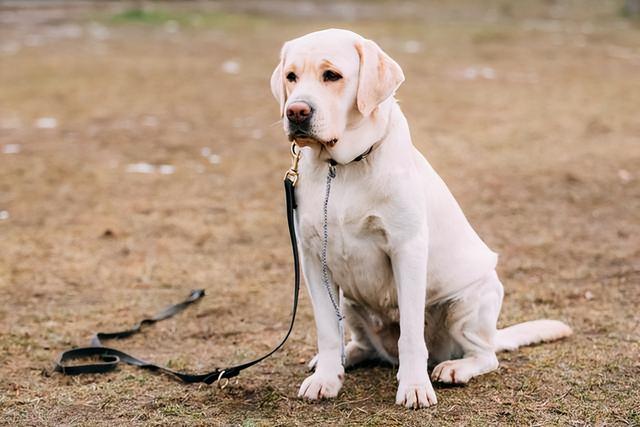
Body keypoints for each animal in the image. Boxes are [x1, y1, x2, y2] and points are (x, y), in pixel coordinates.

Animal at [268, 28, 568, 410]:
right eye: (291, 77)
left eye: (331, 75)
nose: (296, 111)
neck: (343, 166)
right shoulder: (311, 258)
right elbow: (326, 329)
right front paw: (326, 379)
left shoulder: (406, 249)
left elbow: (411, 333)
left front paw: (413, 386)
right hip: (350, 302)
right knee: (361, 343)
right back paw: (343, 358)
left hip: (469, 302)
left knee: (485, 355)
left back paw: (455, 368)